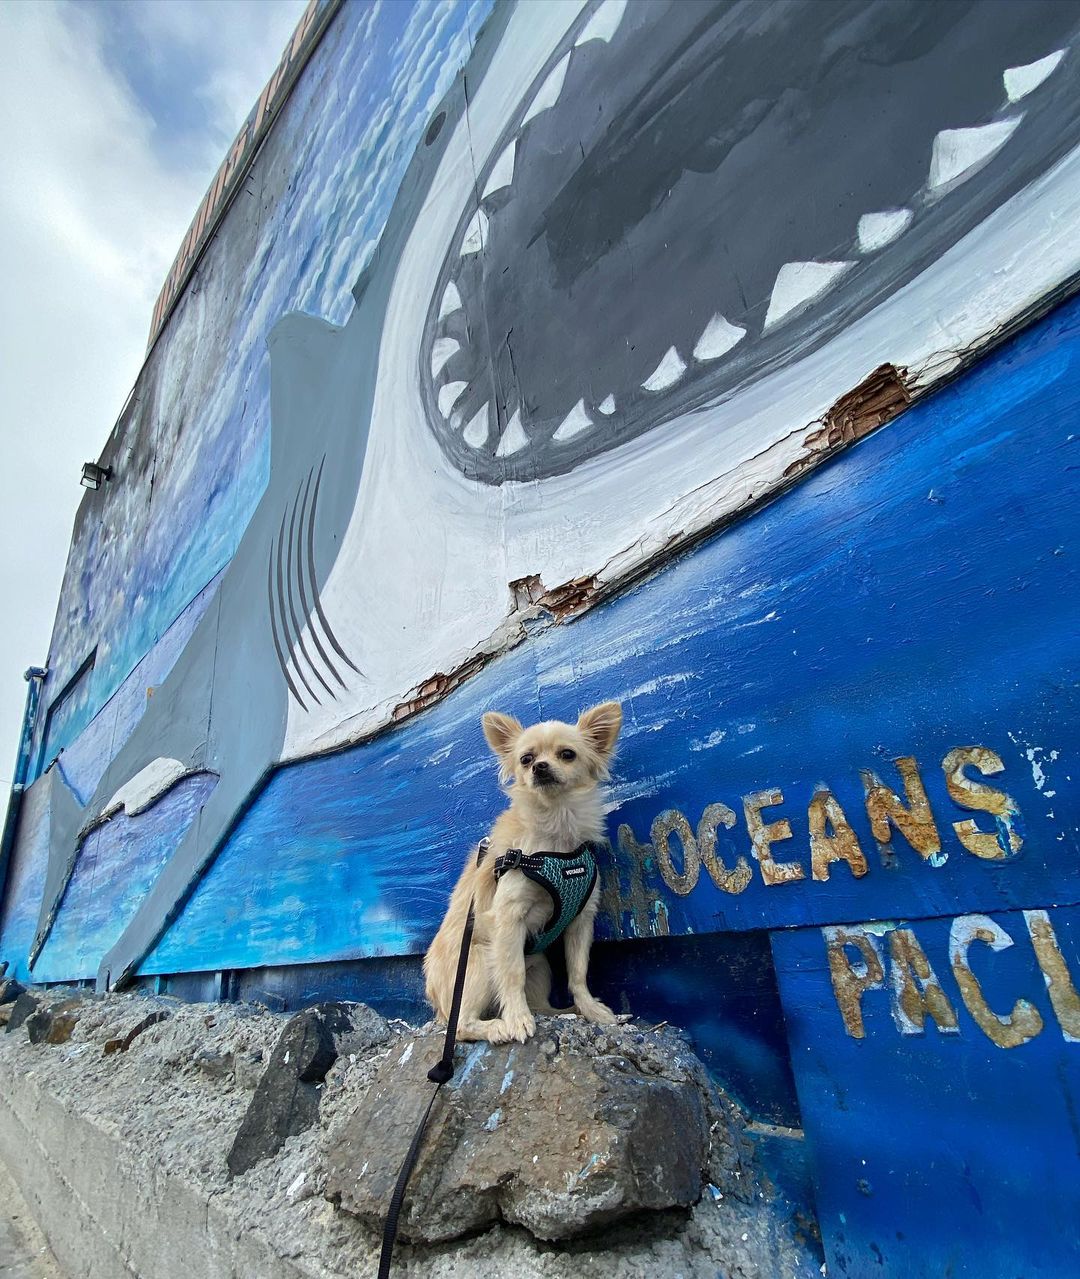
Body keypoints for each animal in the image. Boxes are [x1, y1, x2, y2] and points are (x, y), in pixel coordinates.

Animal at [424, 706, 624, 1043]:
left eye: (567, 754)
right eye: (526, 759)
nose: (540, 767)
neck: (555, 829)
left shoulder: (582, 919)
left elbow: (578, 972)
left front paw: (591, 1009)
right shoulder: (508, 918)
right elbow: (512, 974)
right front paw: (517, 1019)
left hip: (539, 965)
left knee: (540, 1004)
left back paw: (562, 1012)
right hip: (479, 960)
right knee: (460, 1024)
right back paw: (496, 1027)